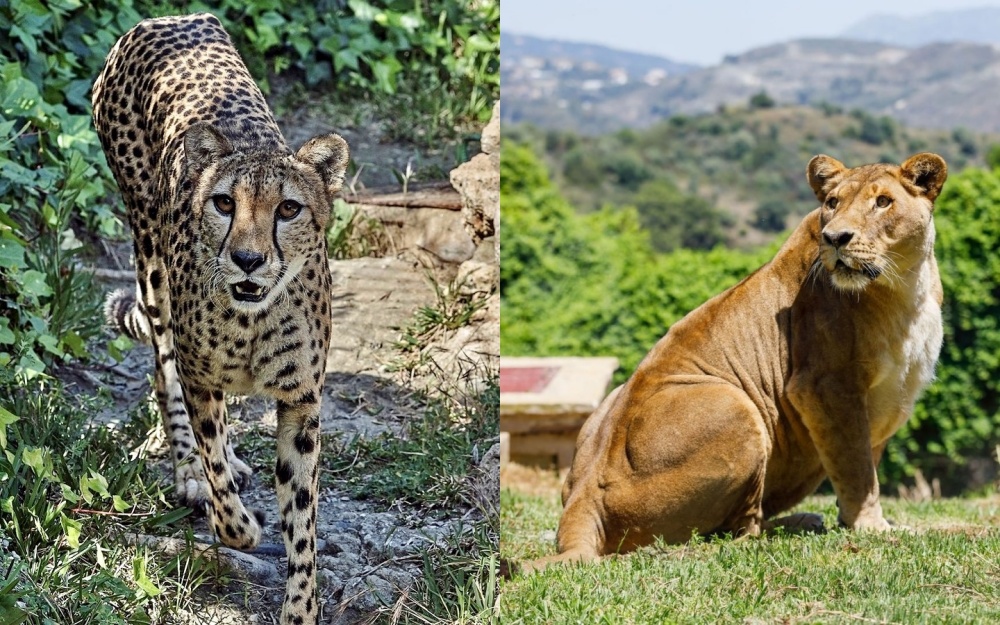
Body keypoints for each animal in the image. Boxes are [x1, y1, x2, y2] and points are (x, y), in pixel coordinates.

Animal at [92, 14, 348, 624]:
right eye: (224, 203)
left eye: (289, 209)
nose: (248, 259)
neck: (252, 318)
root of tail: (171, 20)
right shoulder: (201, 376)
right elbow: (220, 480)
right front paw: (237, 524)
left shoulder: (301, 402)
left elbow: (302, 512)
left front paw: (301, 605)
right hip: (150, 259)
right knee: (162, 369)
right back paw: (189, 470)